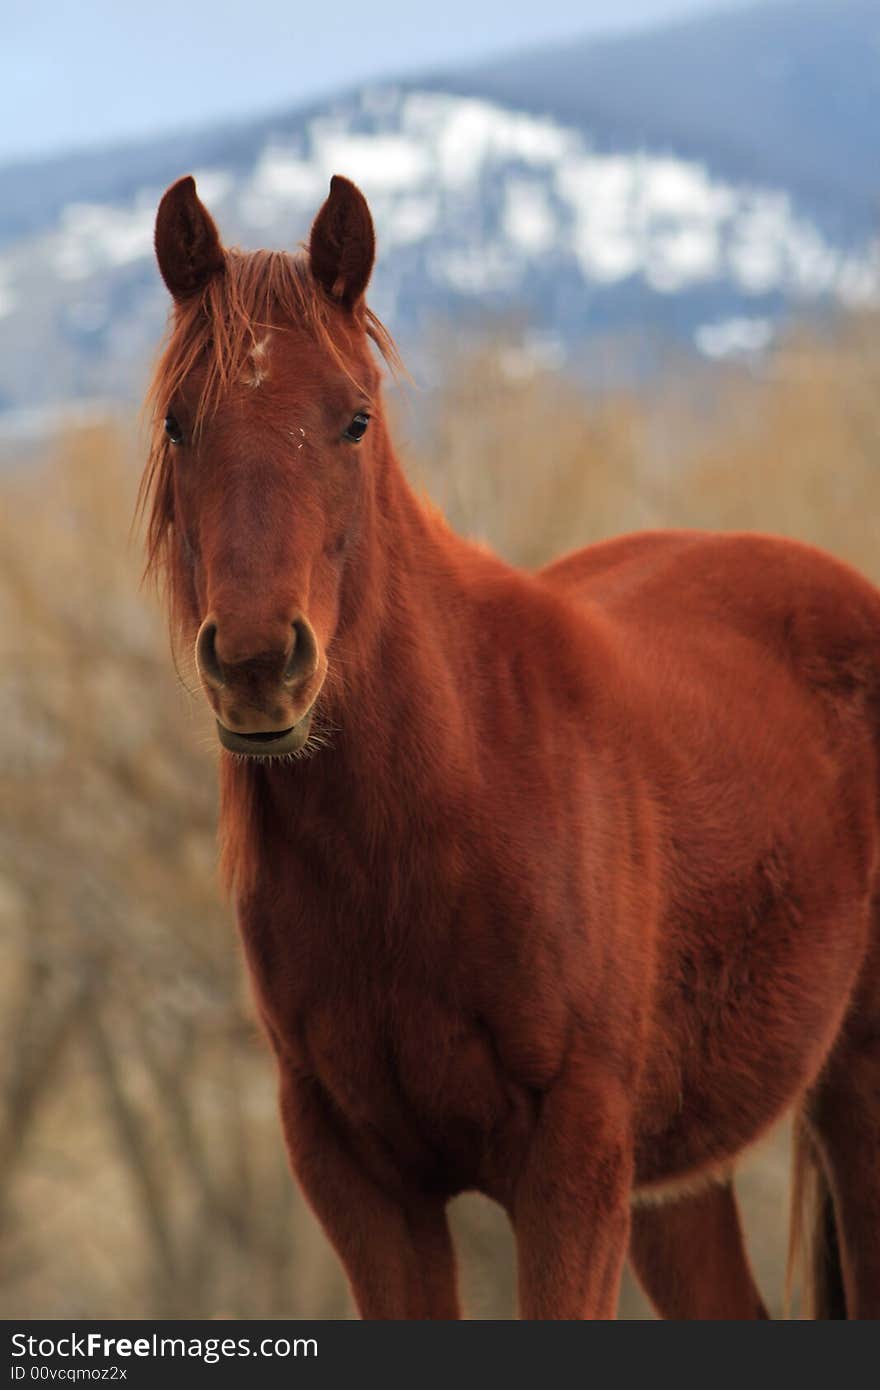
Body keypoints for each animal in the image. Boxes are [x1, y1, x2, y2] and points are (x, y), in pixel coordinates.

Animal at [140, 170, 878, 1312]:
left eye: (354, 420)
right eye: (180, 425)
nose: (261, 662)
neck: (451, 804)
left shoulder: (572, 1174)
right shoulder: (363, 1185)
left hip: (851, 1100)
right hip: (677, 1184)